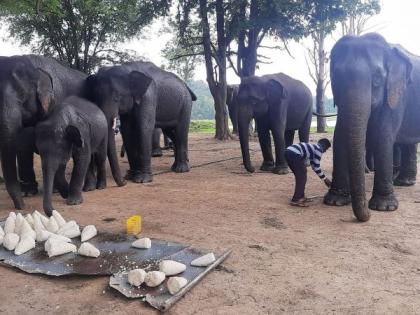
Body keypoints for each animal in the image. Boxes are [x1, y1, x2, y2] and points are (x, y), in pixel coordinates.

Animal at [0, 55, 88, 211]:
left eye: (22, 95)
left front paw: (55, 191)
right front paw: (28, 192)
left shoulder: (56, 98)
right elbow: (22, 143)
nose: (21, 207)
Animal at [324, 32, 418, 222]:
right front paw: (335, 201)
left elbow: (383, 136)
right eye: (336, 78)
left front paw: (384, 208)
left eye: (377, 79)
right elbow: (339, 135)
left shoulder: (396, 95)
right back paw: (403, 182)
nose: (367, 216)